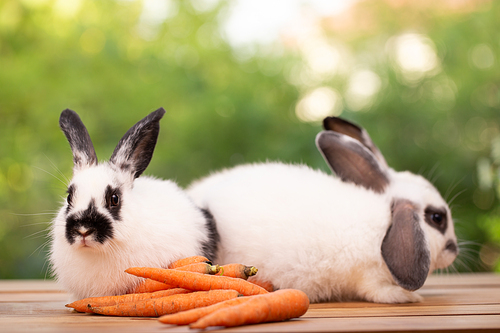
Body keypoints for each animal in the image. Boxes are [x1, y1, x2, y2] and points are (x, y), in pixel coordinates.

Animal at [188, 116, 460, 304]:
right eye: (437, 218)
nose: (454, 250)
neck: (386, 224)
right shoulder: (369, 277)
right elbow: (382, 293)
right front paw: (410, 297)